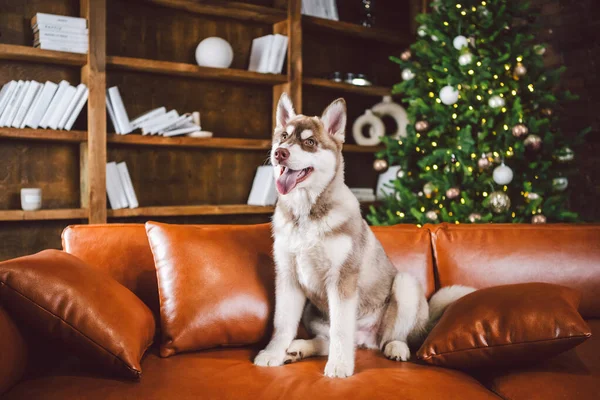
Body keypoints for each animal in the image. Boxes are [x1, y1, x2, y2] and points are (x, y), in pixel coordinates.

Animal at [253, 94, 474, 378]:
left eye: (310, 142)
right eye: (283, 136)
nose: (280, 153)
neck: (306, 215)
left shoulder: (342, 279)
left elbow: (340, 329)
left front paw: (339, 366)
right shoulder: (287, 277)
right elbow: (282, 323)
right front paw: (273, 353)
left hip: (405, 285)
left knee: (391, 337)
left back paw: (396, 348)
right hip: (313, 312)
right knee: (327, 340)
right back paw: (298, 348)